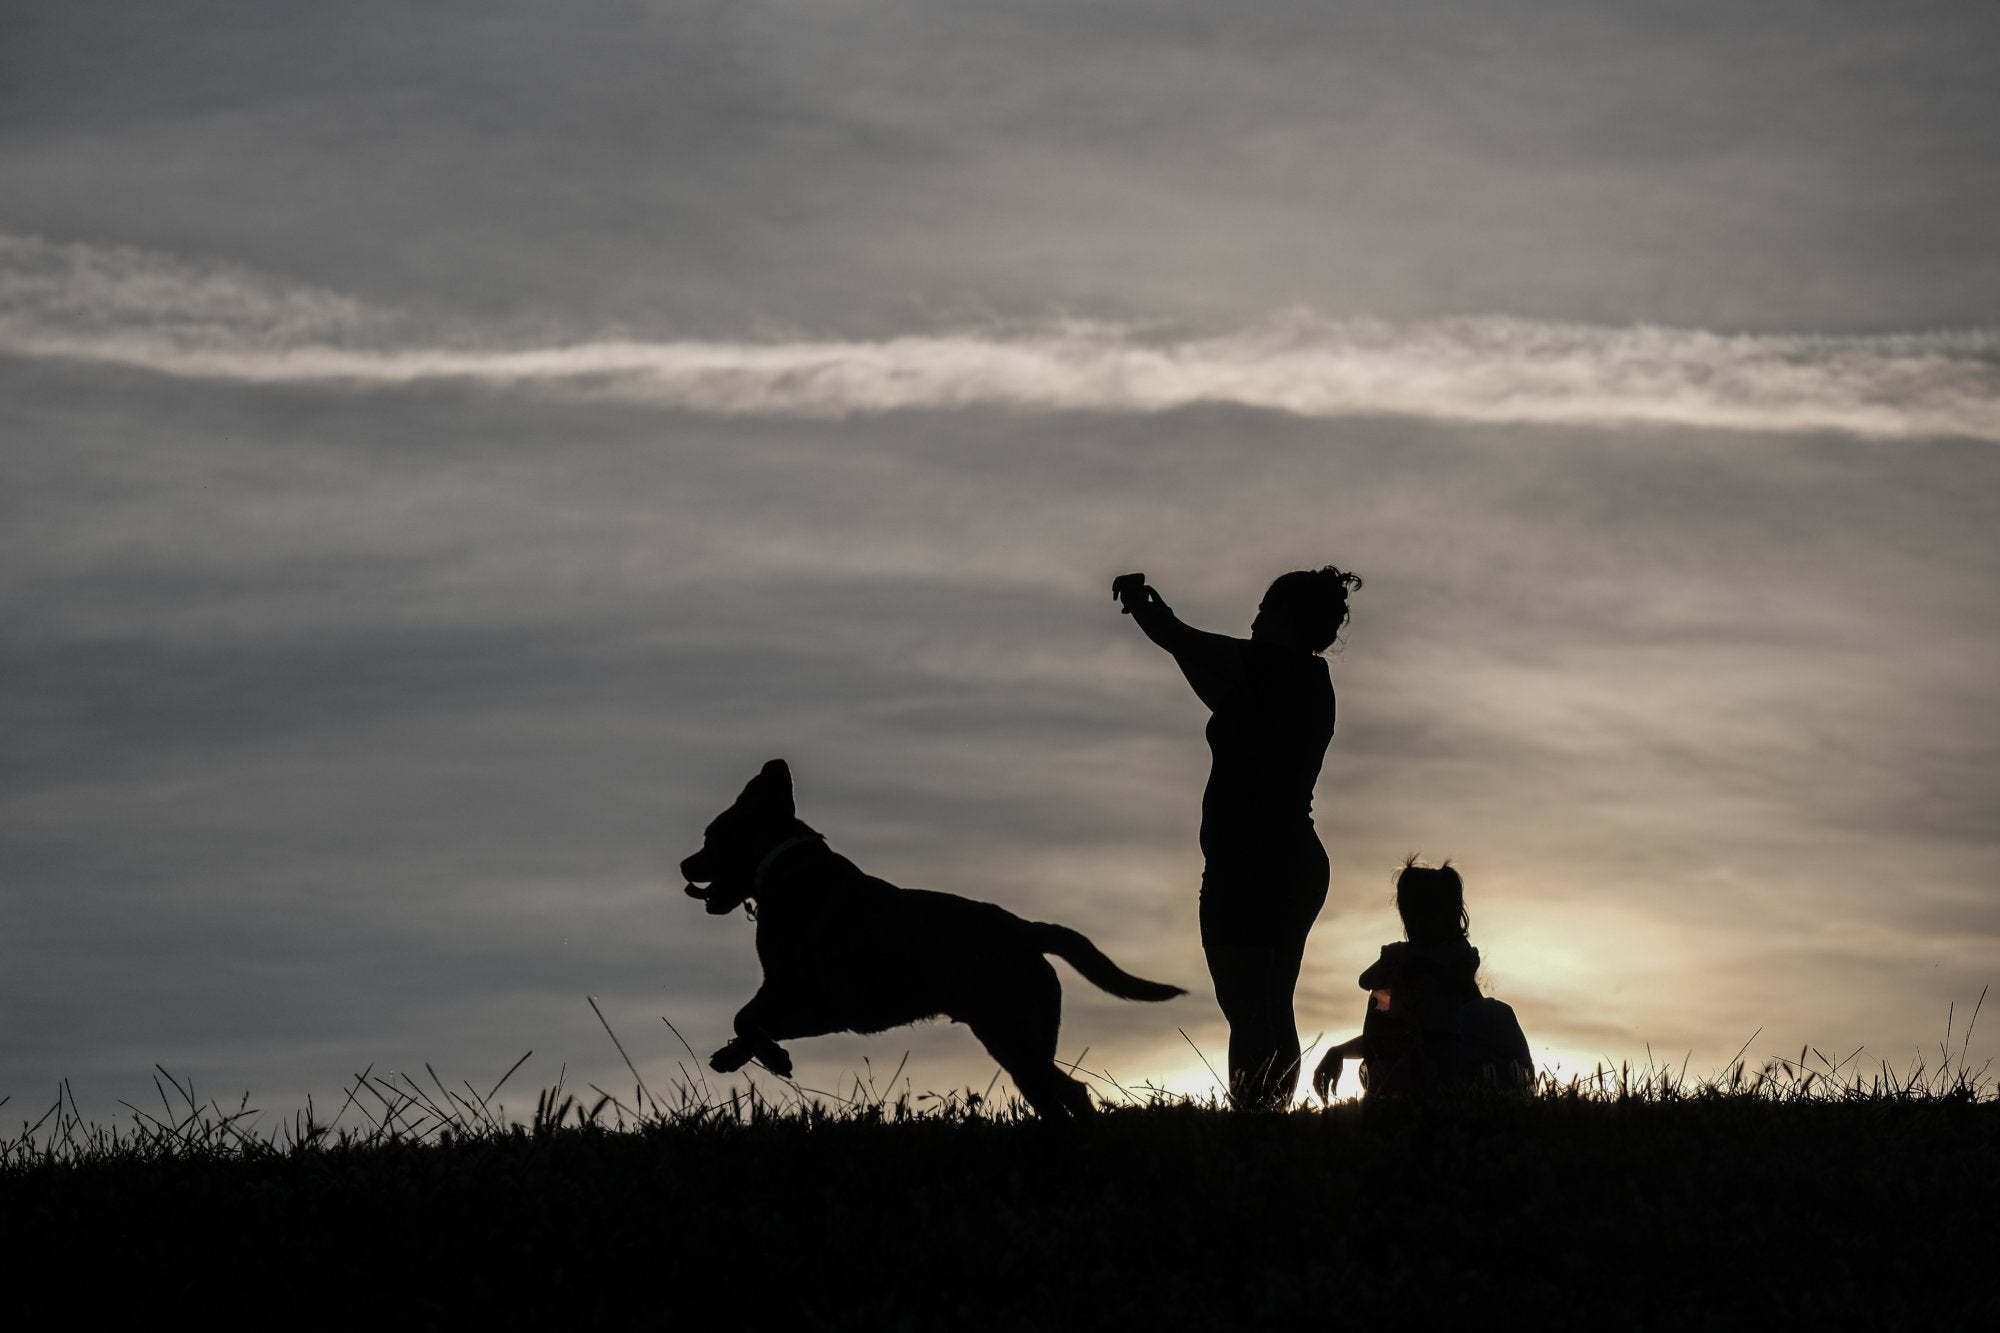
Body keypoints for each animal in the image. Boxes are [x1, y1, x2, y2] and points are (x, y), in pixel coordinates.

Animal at [688, 756, 1184, 1112]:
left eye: (712, 837)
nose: (682, 865)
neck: (786, 868)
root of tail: (1027, 931)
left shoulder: (823, 1001)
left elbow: (747, 1020)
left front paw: (773, 1058)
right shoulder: (785, 994)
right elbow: (746, 1020)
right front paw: (736, 1056)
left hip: (1010, 1032)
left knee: (1069, 1092)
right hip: (1015, 1039)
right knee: (1055, 1095)